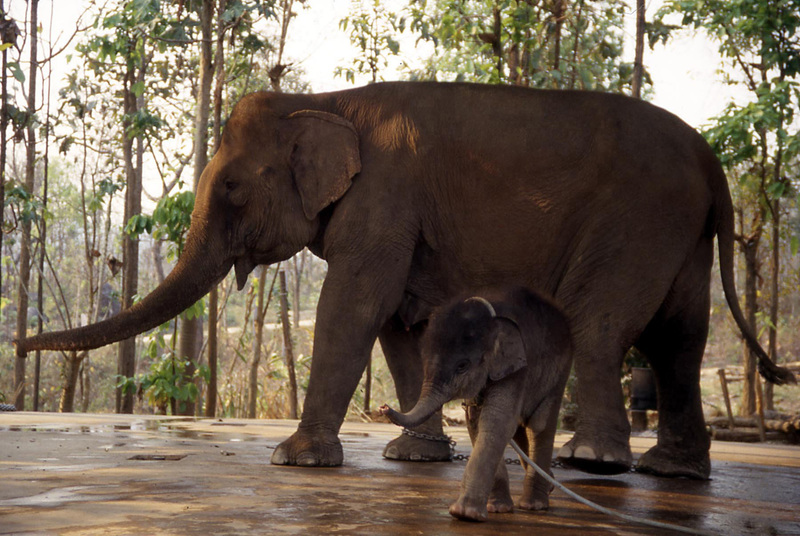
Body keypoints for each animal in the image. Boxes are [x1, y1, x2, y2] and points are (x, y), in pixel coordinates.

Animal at [18, 82, 792, 478]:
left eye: (233, 187)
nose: (20, 343)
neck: (325, 98)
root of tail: (714, 162)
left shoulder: (383, 198)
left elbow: (356, 305)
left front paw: (294, 461)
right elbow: (398, 321)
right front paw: (411, 456)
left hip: (637, 219)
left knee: (603, 326)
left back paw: (595, 462)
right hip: (680, 234)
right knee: (679, 340)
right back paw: (673, 471)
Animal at [380, 286, 572, 520]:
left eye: (462, 366)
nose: (383, 407)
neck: (491, 319)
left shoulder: (517, 369)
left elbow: (496, 421)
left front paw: (465, 514)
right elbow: (476, 422)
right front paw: (496, 508)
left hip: (559, 372)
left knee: (538, 425)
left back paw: (534, 505)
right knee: (521, 429)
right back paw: (549, 485)